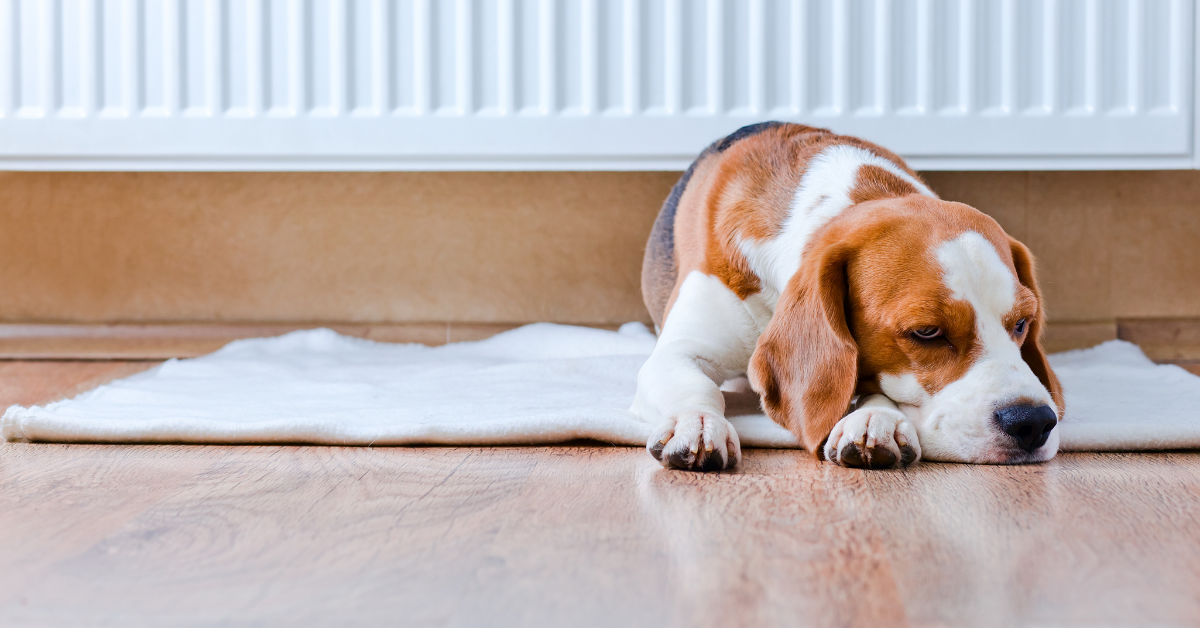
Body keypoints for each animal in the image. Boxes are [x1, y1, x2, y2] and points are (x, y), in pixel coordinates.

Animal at [633, 123, 1065, 468]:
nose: (1034, 423)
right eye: (926, 332)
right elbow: (697, 385)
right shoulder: (678, 351)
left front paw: (875, 419)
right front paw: (697, 423)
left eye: (1022, 323)